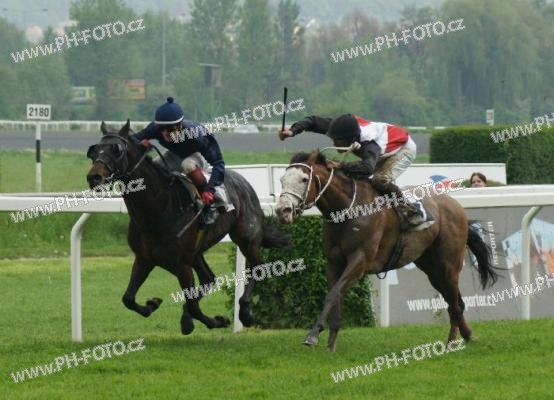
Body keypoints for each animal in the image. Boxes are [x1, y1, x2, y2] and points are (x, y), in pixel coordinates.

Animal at [85, 120, 290, 334]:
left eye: (116, 150)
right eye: (94, 150)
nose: (94, 177)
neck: (157, 211)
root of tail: (242, 180)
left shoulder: (182, 264)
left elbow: (192, 304)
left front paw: (216, 320)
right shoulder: (144, 259)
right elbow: (128, 298)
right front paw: (152, 305)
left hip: (246, 237)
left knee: (257, 268)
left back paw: (244, 312)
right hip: (197, 253)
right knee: (209, 278)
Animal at [275, 150, 498, 352]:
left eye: (304, 179)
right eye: (282, 179)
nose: (282, 210)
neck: (347, 210)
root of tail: (457, 206)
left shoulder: (360, 260)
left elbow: (334, 293)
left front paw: (312, 335)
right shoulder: (333, 262)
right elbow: (334, 295)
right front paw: (331, 345)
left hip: (448, 266)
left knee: (454, 303)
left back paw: (452, 342)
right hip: (431, 268)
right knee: (455, 301)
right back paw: (467, 335)